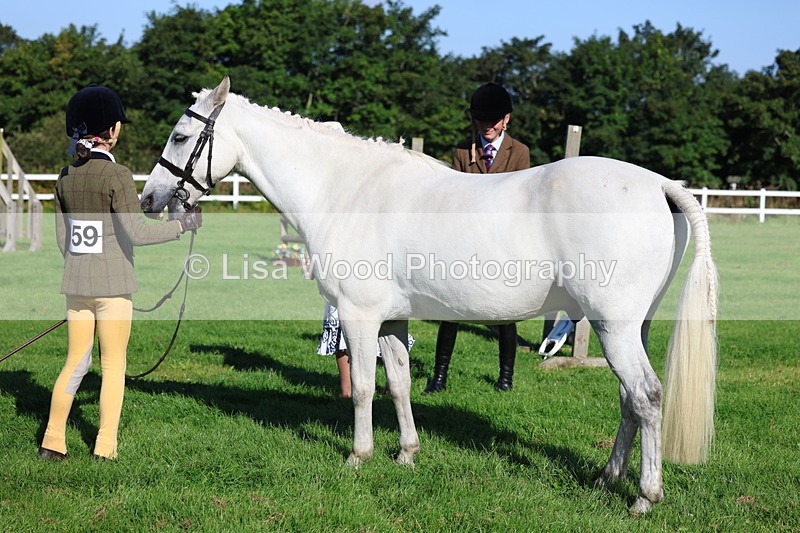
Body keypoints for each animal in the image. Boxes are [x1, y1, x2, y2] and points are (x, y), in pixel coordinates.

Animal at [141, 77, 718, 514]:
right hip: (626, 327)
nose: (149, 198)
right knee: (628, 399)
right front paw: (407, 453)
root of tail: (658, 184)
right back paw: (607, 477)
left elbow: (364, 388)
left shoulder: (359, 317)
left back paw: (644, 496)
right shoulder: (392, 321)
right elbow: (398, 385)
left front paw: (359, 456)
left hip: (613, 326)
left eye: (179, 135)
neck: (345, 189)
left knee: (647, 397)